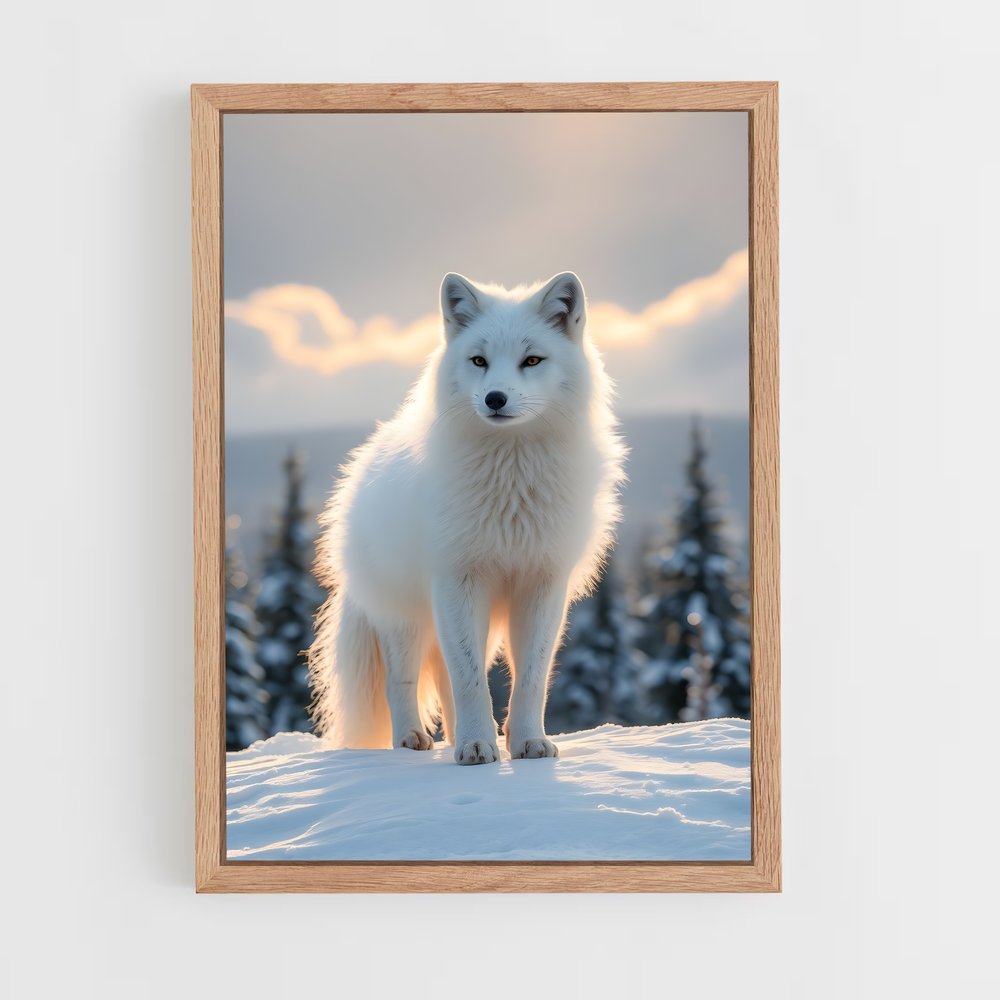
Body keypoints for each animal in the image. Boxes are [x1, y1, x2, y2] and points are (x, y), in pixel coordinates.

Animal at [308, 271, 626, 764]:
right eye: (479, 360)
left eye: (532, 360)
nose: (495, 398)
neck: (512, 479)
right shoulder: (457, 579)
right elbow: (471, 682)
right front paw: (477, 748)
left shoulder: (542, 584)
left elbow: (529, 680)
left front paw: (527, 742)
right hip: (409, 619)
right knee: (403, 681)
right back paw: (414, 740)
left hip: (480, 622)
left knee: (444, 677)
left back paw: (464, 736)